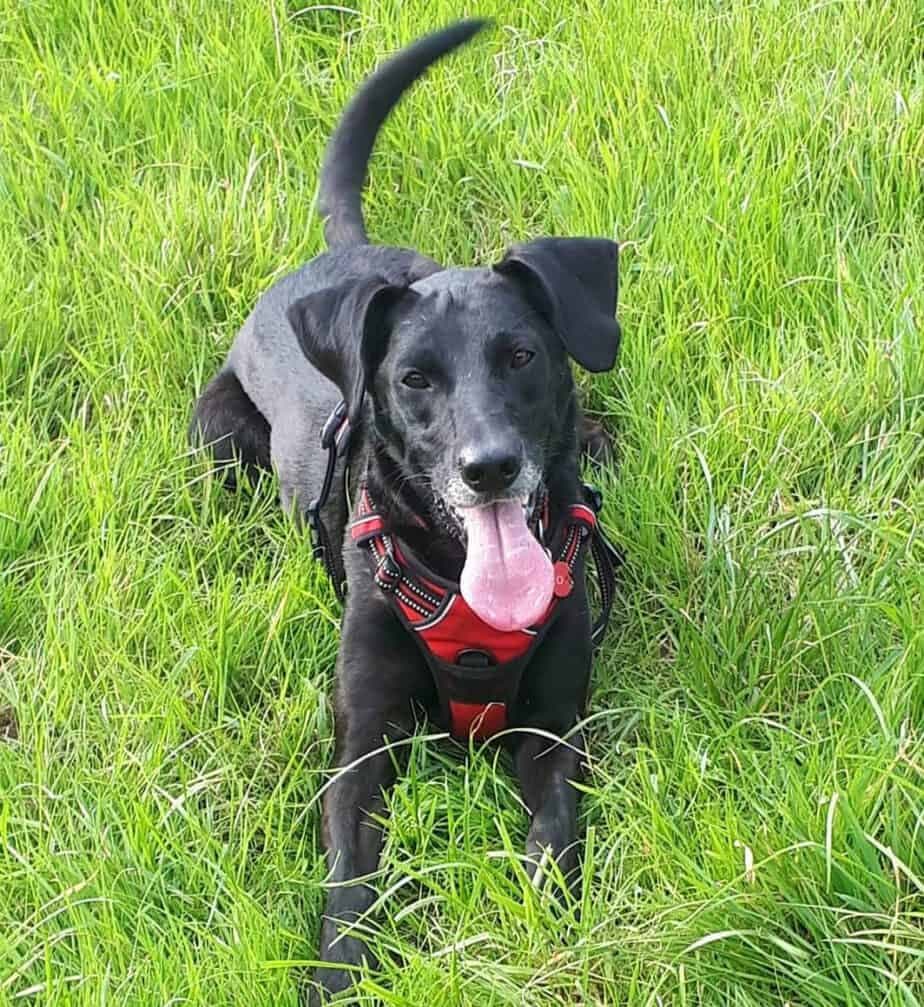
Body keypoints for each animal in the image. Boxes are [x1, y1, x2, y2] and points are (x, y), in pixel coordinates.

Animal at [188, 19, 624, 1002]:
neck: (464, 594)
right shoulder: (361, 749)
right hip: (214, 439)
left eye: (522, 355)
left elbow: (554, 838)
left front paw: (543, 936)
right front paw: (341, 973)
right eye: (414, 379)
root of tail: (338, 253)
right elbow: (351, 880)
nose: (489, 468)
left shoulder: (552, 730)